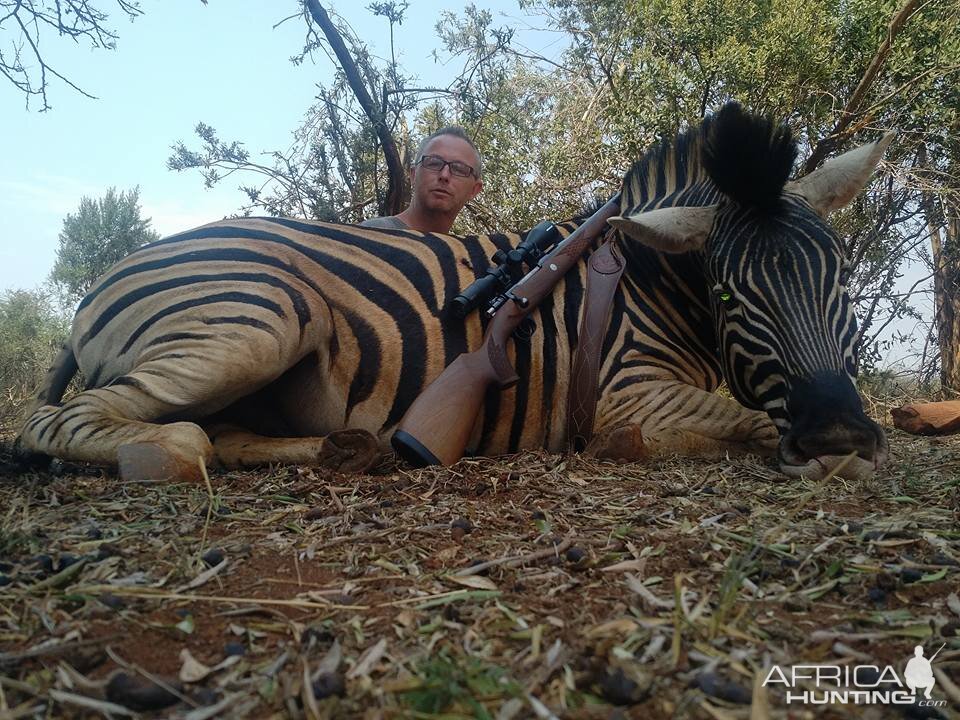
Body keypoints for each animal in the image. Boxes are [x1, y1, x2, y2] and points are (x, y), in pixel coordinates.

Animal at [18, 101, 892, 480]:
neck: (647, 278)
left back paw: (349, 449)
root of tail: (109, 277)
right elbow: (745, 422)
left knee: (224, 433)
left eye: (843, 285)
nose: (841, 434)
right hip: (256, 320)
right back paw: (162, 454)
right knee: (88, 423)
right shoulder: (629, 391)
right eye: (732, 296)